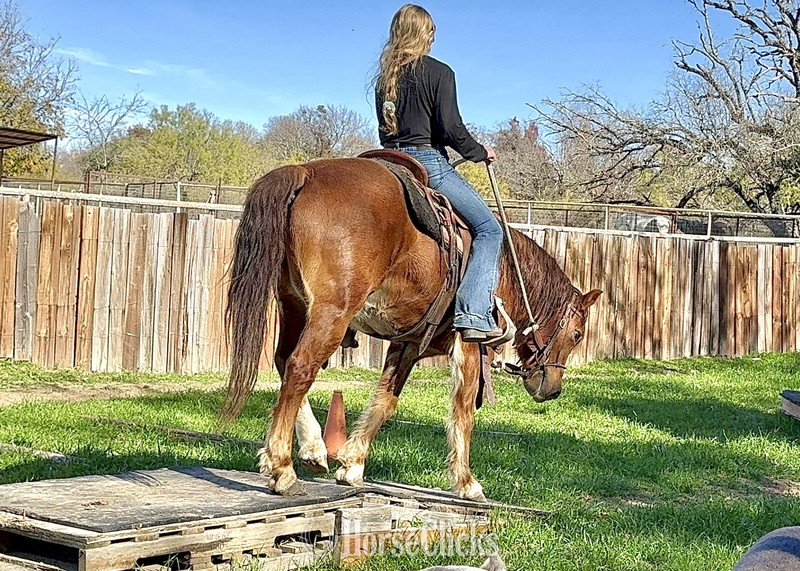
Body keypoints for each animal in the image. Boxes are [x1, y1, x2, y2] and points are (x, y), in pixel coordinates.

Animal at [223, 156, 601, 500]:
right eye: (577, 334)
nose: (552, 390)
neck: (506, 270)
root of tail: (305, 172)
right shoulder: (470, 345)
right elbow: (463, 410)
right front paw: (467, 482)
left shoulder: (406, 345)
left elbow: (385, 402)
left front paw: (352, 464)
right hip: (331, 312)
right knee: (301, 368)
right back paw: (282, 467)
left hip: (293, 304)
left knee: (284, 361)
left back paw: (313, 448)